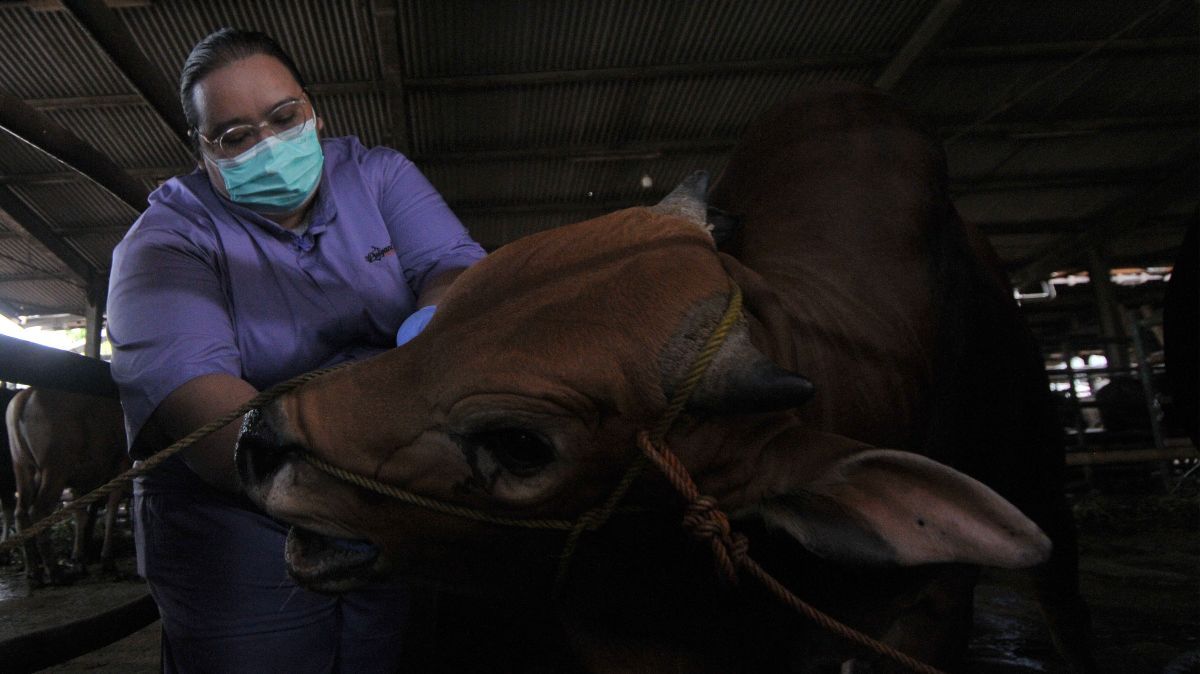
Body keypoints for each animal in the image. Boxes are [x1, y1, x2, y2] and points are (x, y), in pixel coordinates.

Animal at [6, 386, 129, 580]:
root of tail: (26, 395)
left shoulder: (82, 480)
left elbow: (80, 514)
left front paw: (79, 560)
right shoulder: (121, 464)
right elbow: (110, 512)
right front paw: (107, 561)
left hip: (22, 465)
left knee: (21, 512)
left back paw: (33, 571)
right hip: (56, 467)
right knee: (39, 511)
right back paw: (55, 571)